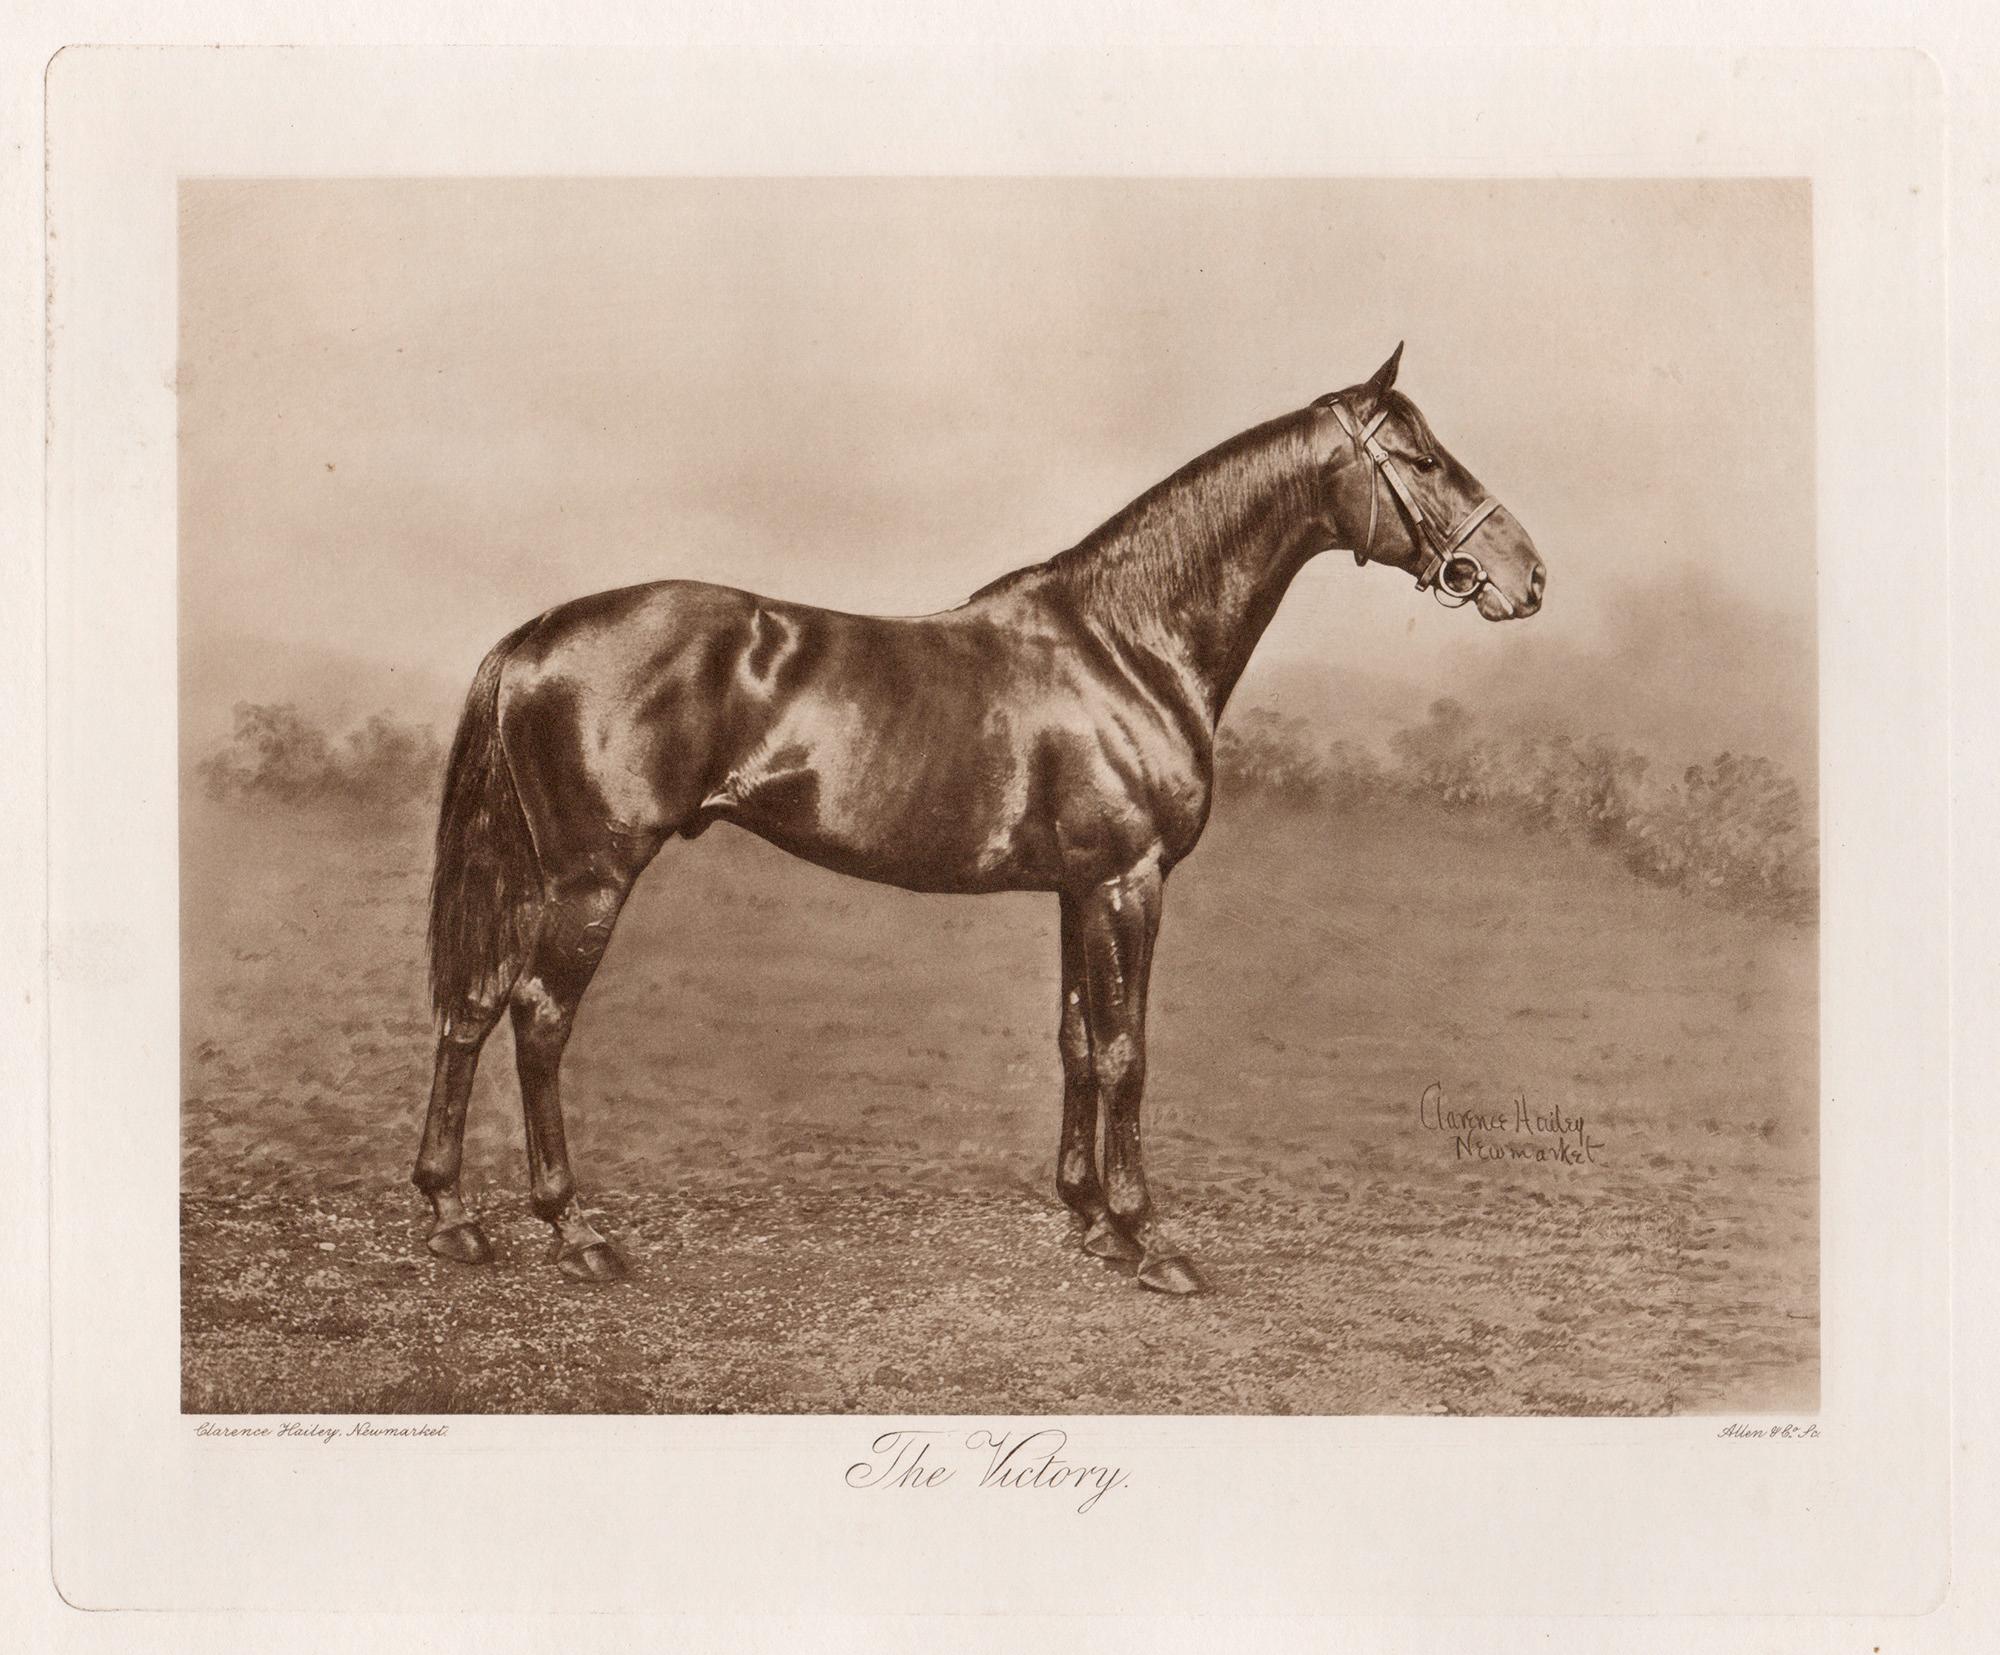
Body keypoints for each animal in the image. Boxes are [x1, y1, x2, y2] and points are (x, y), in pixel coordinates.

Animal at [413, 344, 1546, 1295]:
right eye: (1421, 456)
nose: (1525, 576)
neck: (1124, 642)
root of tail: (534, 635)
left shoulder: (1080, 887)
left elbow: (1078, 1040)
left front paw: (1091, 1221)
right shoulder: (1129, 881)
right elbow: (1127, 1051)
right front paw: (1151, 1239)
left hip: (537, 876)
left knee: (470, 1007)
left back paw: (451, 1216)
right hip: (591, 878)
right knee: (536, 1019)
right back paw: (574, 1230)